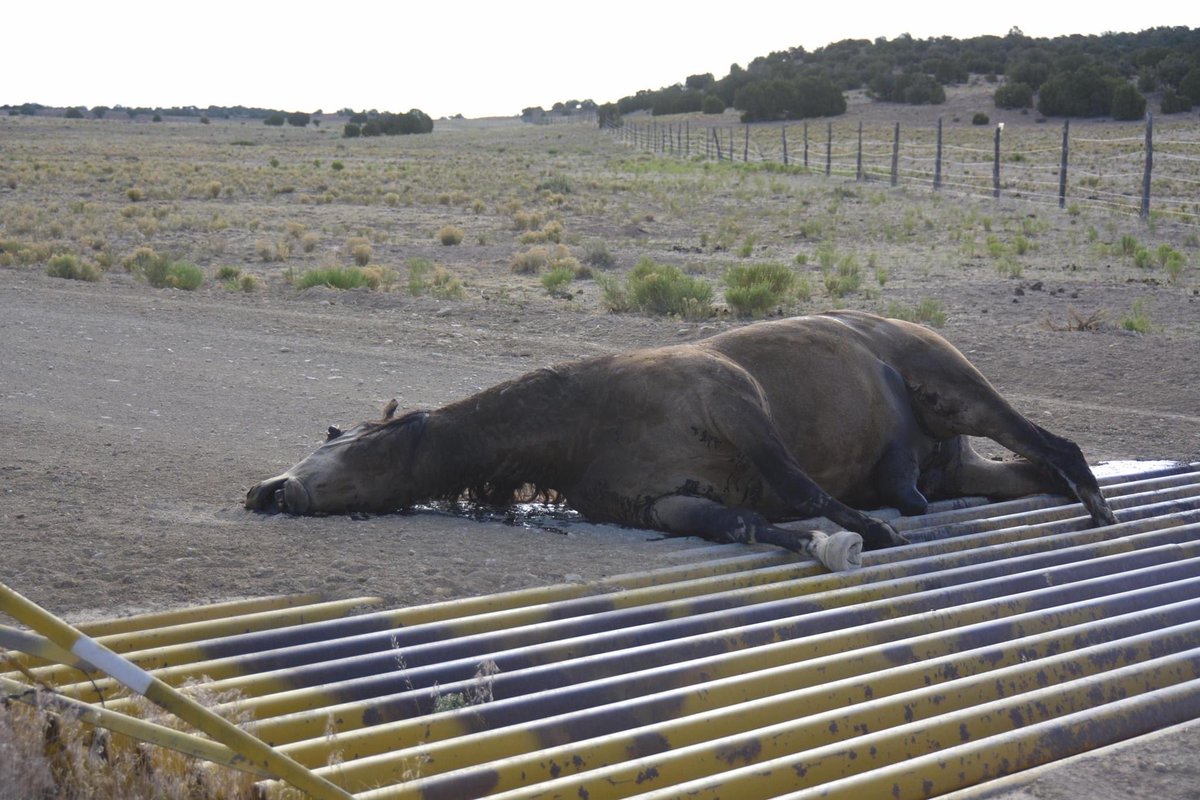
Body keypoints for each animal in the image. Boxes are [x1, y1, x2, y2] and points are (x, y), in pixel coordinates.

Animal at [243, 309, 1113, 573]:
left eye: (335, 436)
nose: (269, 492)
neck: (587, 420)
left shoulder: (735, 404)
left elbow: (797, 487)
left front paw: (865, 532)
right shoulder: (663, 505)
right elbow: (750, 525)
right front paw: (823, 543)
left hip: (958, 391)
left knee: (1056, 445)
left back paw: (1099, 506)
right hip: (968, 469)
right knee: (1032, 470)